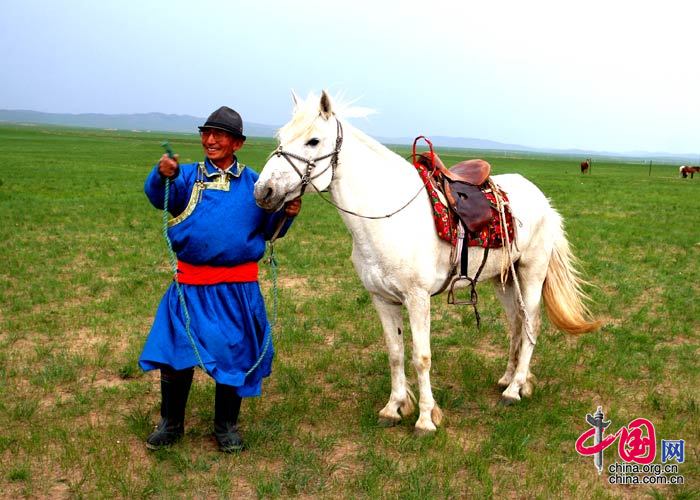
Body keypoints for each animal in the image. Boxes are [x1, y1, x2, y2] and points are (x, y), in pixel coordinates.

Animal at [253, 92, 600, 436]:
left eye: (313, 140)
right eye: (281, 138)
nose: (263, 190)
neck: (386, 217)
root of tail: (544, 201)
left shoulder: (417, 298)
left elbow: (421, 357)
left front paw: (425, 419)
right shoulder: (382, 298)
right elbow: (395, 353)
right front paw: (393, 408)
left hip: (531, 274)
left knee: (530, 326)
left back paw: (515, 389)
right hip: (503, 279)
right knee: (516, 322)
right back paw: (508, 378)